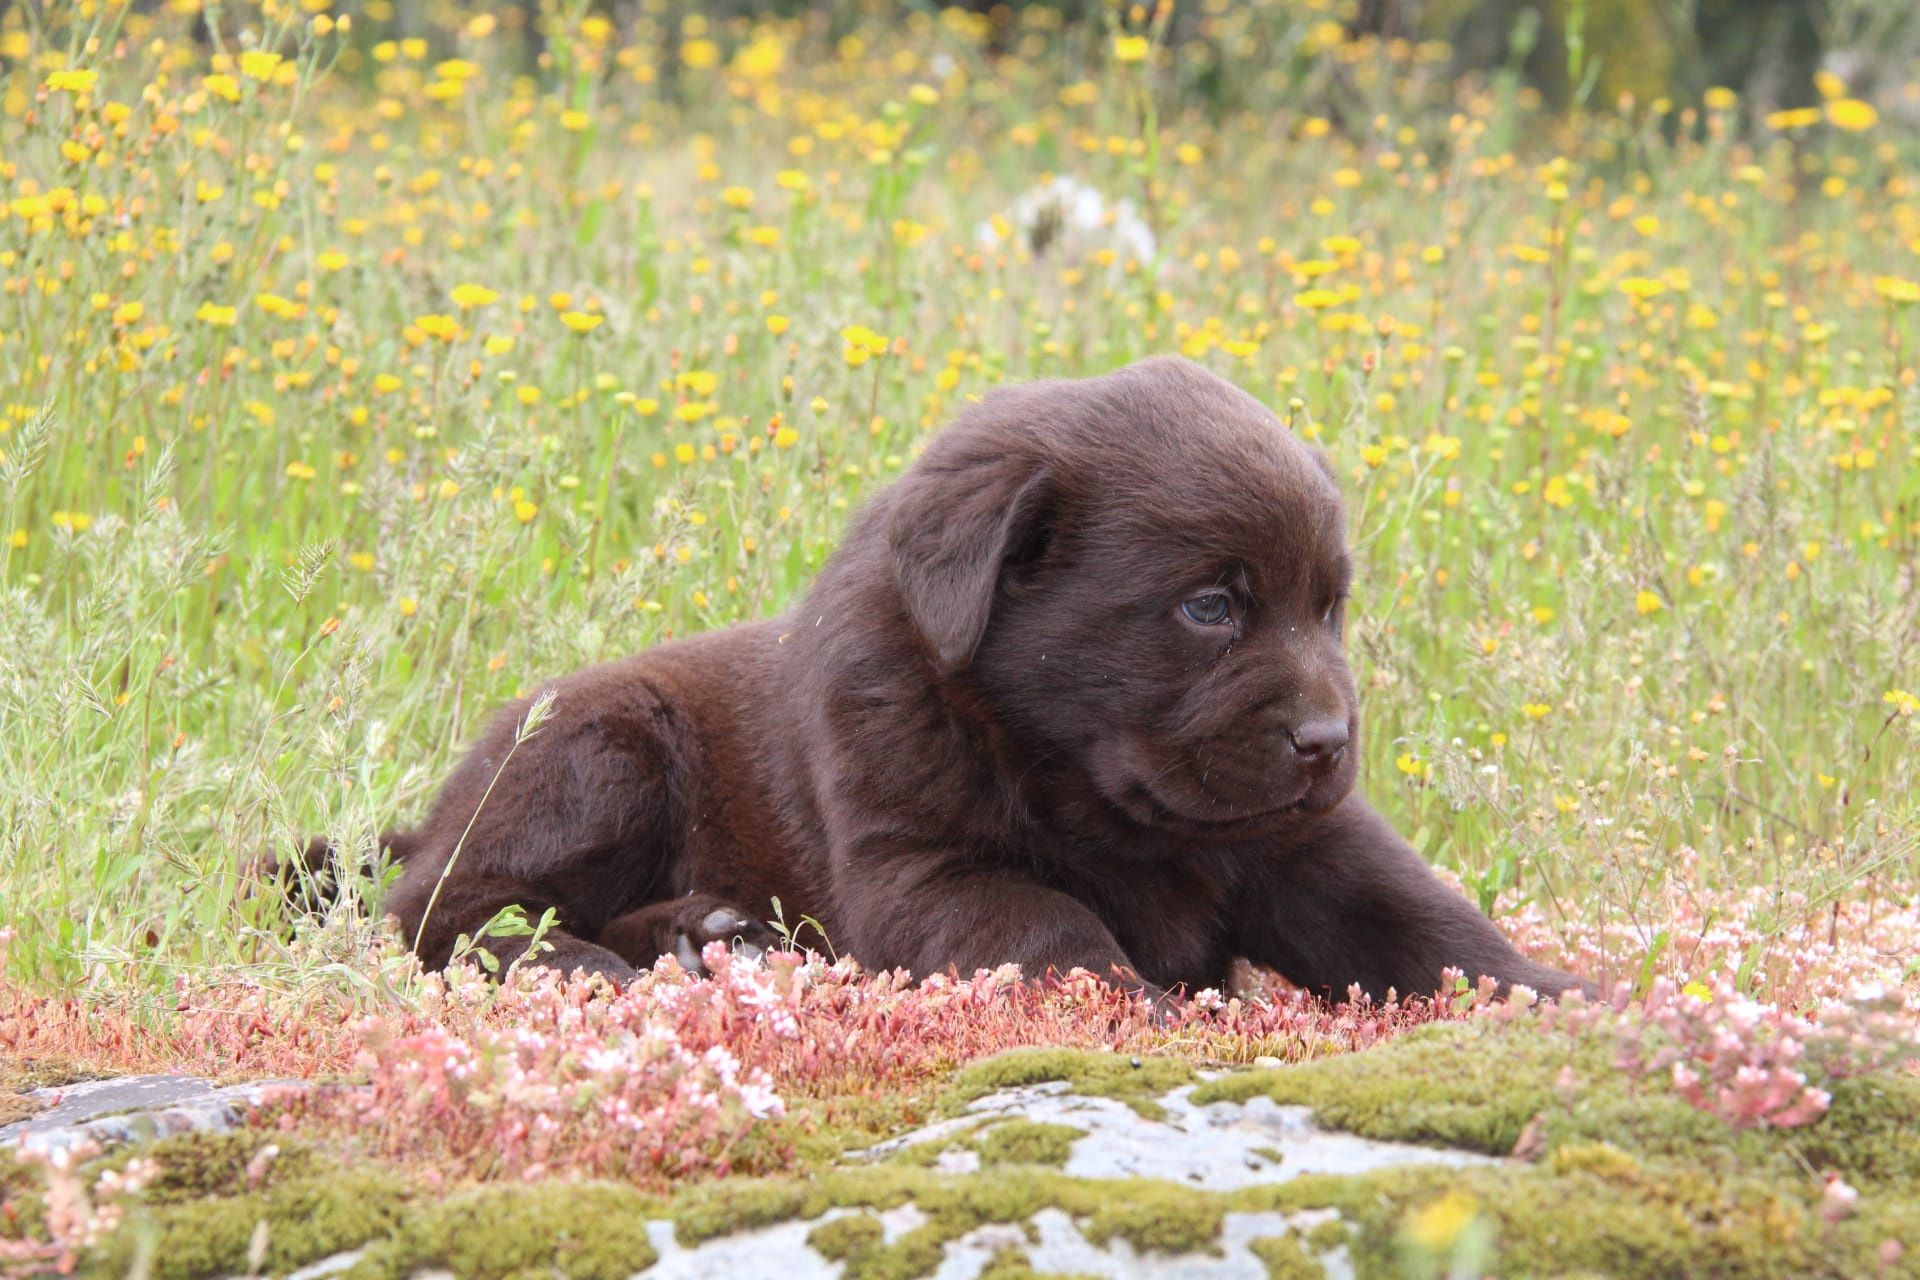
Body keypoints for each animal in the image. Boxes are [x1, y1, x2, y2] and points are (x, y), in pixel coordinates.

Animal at [330, 355, 1589, 1005]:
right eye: (1209, 606)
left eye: (1328, 605)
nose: (1328, 741)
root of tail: (435, 809)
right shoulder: (923, 869)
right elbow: (1053, 921)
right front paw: (1141, 1002)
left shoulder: (1307, 840)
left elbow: (1426, 918)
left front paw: (1562, 994)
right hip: (601, 747)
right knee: (434, 906)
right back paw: (584, 957)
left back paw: (707, 933)